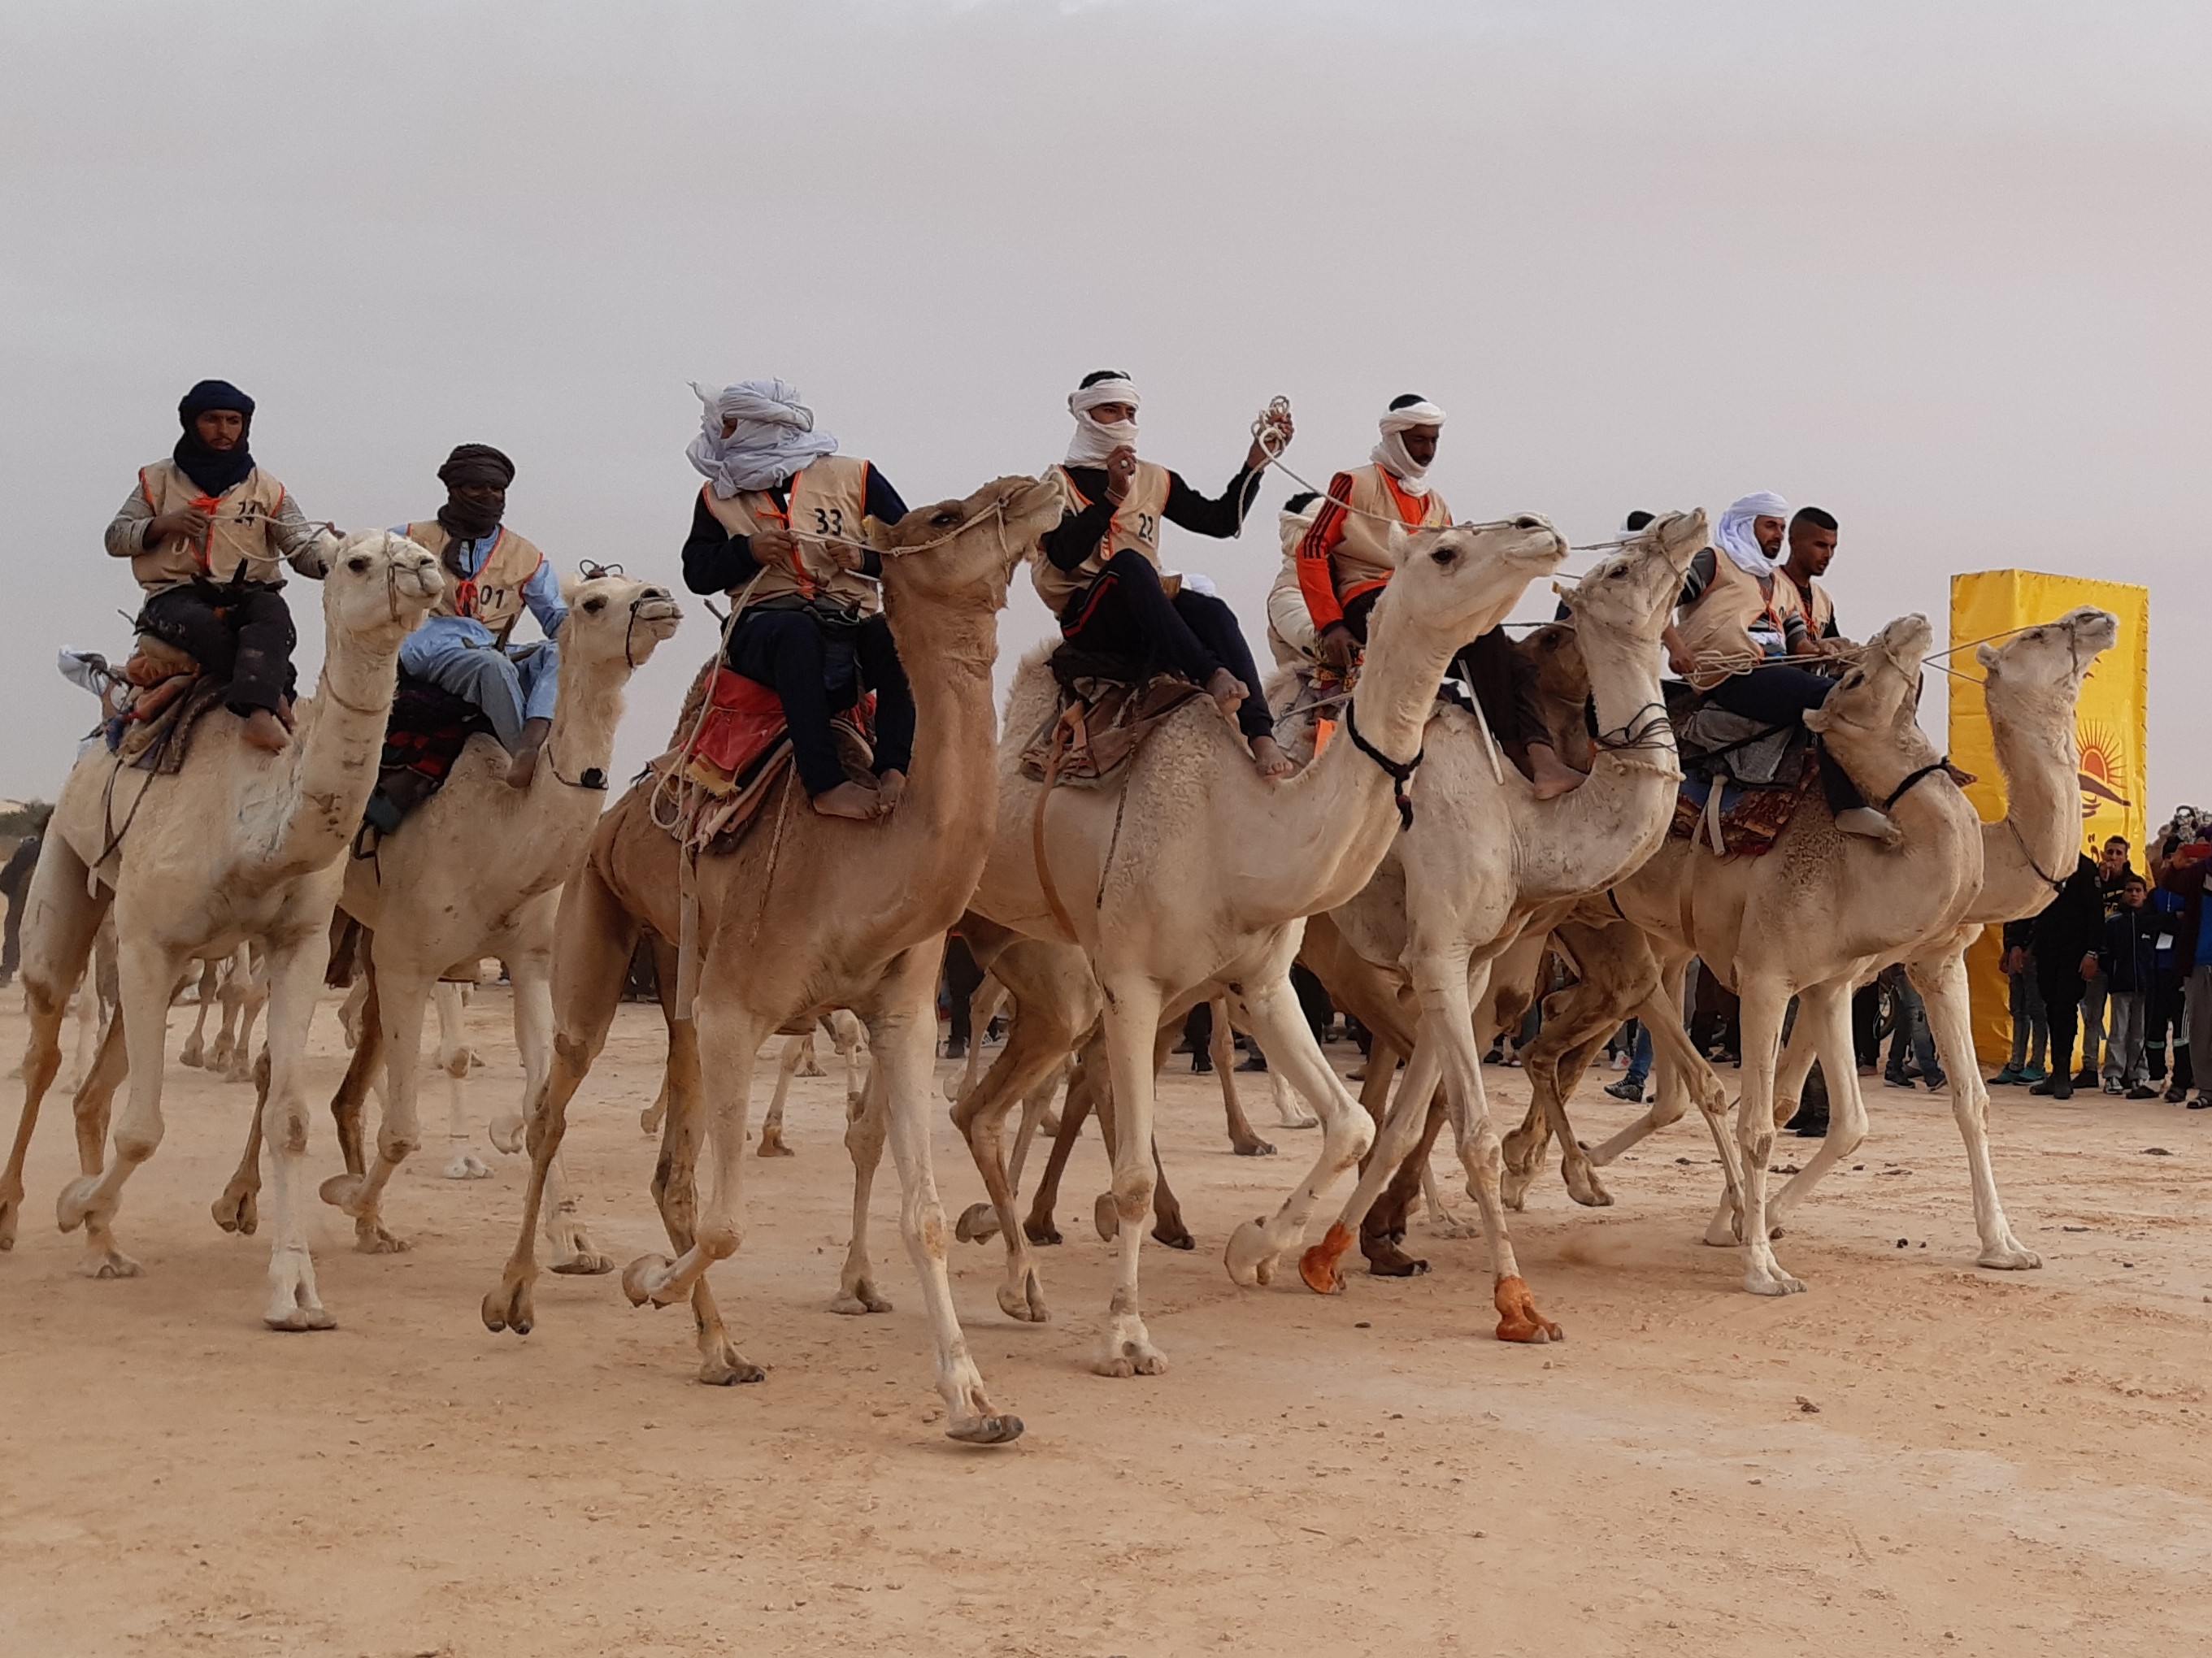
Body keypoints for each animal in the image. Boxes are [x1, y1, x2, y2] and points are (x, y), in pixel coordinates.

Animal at [0, 532, 440, 1326]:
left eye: (417, 549)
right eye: (357, 560)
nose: (427, 569)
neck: (254, 829)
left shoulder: (298, 941)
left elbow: (289, 1119)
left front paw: (296, 1294)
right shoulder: (148, 936)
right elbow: (143, 1129)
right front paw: (72, 1203)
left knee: (93, 1090)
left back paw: (104, 1251)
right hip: (65, 872)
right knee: (44, 1042)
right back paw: (14, 1215)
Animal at [482, 473, 1062, 1450]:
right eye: (946, 516)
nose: (1040, 487)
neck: (863, 861)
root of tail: (615, 815)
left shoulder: (903, 1013)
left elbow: (924, 1216)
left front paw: (974, 1404)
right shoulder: (737, 1011)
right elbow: (729, 1222)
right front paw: (644, 1277)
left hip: (677, 981)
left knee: (669, 1169)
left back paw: (721, 1351)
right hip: (594, 932)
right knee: (553, 1109)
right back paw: (516, 1293)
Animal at [959, 513, 1566, 1370]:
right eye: (1445, 551)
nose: (1537, 530)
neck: (1239, 829)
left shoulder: (1265, 980)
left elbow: (1351, 1126)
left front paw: (1254, 1248)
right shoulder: (1132, 982)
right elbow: (1132, 1174)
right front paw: (1126, 1335)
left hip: (1045, 975)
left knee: (979, 1109)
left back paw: (1017, 1282)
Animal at [1292, 513, 1698, 1343]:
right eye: (1618, 570)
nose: (1684, 523)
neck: (1522, 821)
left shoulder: (1469, 961)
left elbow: (1408, 1116)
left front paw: (1326, 1258)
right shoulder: (1440, 953)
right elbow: (1468, 1129)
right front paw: (1517, 1305)